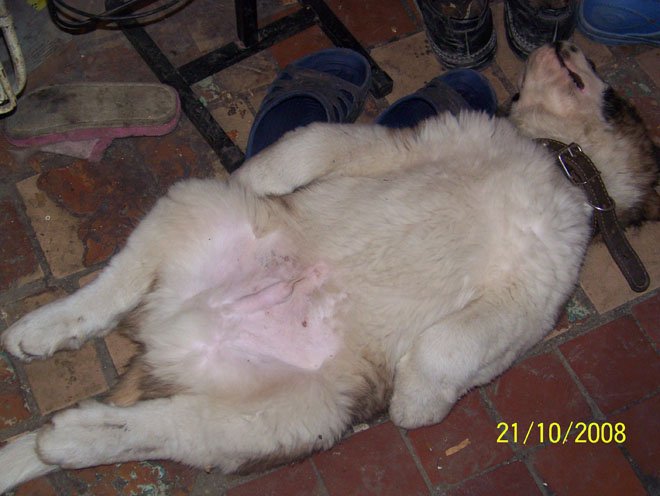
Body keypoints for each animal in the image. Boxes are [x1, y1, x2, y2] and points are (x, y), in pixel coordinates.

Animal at [1, 41, 658, 492]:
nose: (564, 41)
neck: (553, 158)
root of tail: (168, 342)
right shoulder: (409, 144)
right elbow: (311, 143)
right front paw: (255, 173)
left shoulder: (535, 286)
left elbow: (450, 345)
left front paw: (416, 402)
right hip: (199, 209)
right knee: (114, 286)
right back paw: (40, 330)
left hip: (287, 416)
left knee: (155, 425)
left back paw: (70, 435)